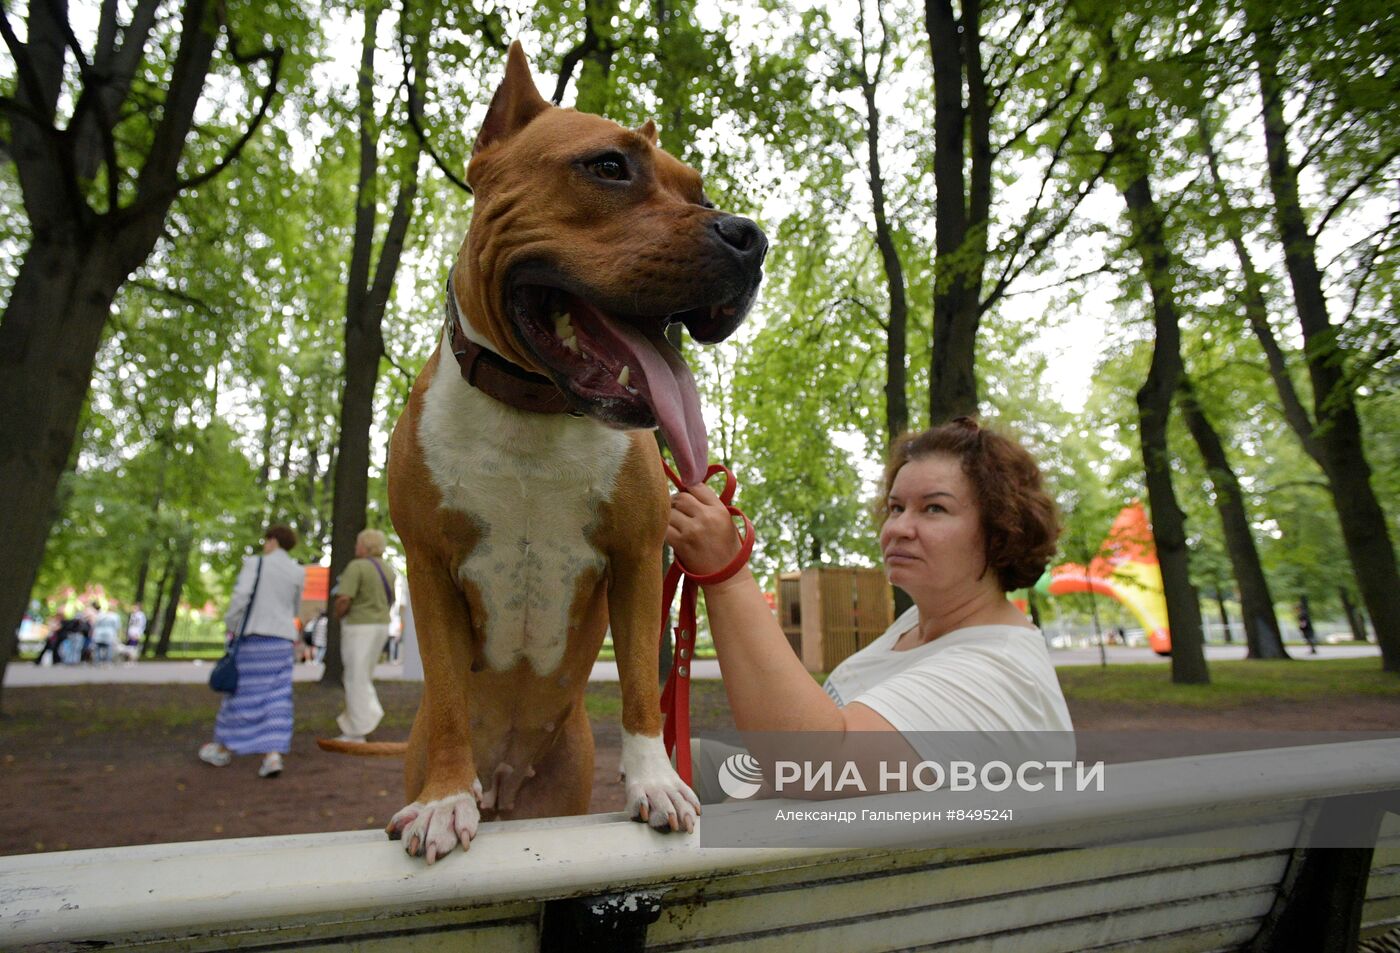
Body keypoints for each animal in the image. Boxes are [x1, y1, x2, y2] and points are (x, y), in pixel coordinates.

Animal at [333, 44, 767, 862]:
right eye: (608, 166)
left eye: (698, 190)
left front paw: (655, 781)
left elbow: (640, 685)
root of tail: (506, 778)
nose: (750, 236)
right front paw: (443, 799)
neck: (533, 409)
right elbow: (446, 689)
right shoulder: (428, 567)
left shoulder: (637, 558)